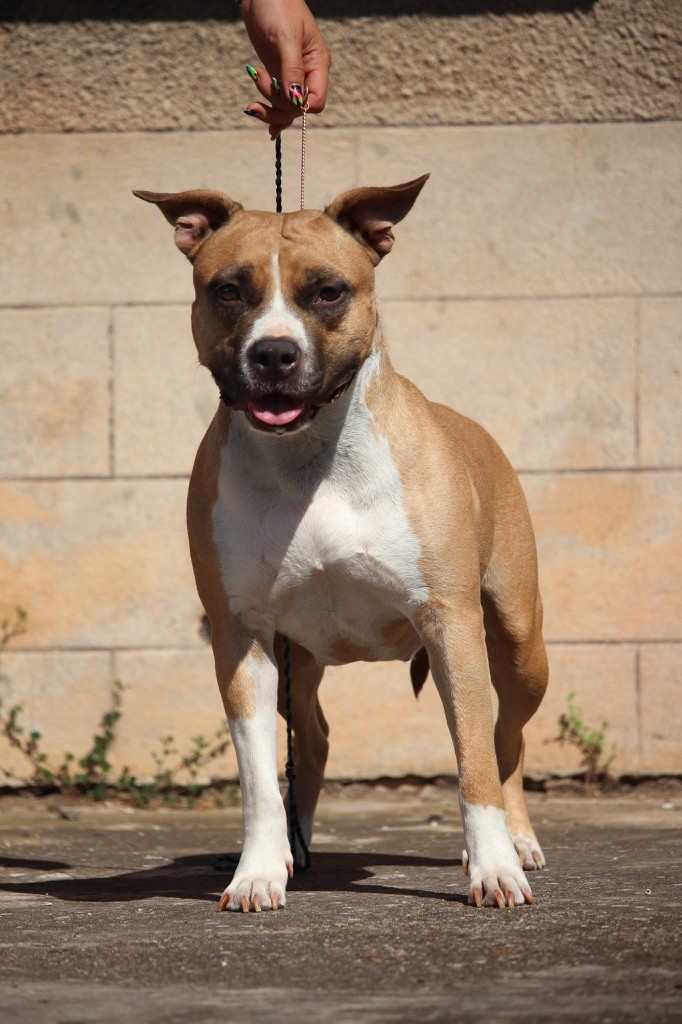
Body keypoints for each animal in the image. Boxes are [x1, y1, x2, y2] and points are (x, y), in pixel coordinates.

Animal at [135, 176, 548, 913]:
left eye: (327, 291)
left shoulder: (451, 623)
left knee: (507, 736)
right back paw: (295, 850)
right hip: (295, 661)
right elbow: (259, 778)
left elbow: (473, 757)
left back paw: (517, 841)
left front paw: (495, 868)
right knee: (315, 741)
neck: (309, 457)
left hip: (520, 644)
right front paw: (258, 873)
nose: (274, 353)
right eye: (228, 290)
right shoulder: (242, 637)